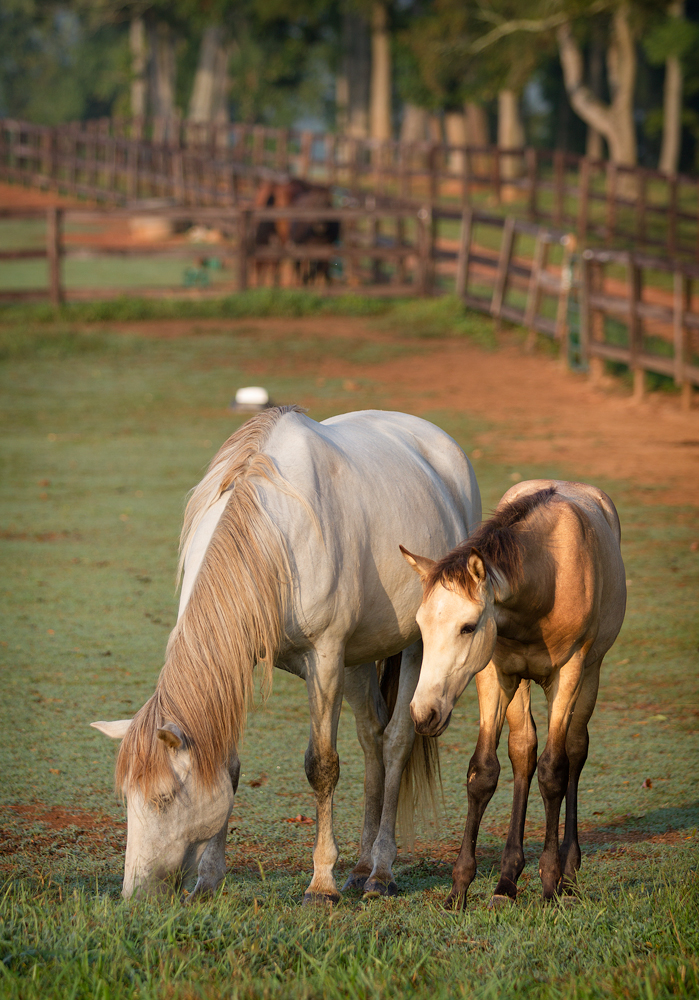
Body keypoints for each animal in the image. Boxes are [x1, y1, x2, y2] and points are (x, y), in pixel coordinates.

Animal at [91, 402, 482, 904]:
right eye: (127, 799)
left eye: (162, 798)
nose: (135, 896)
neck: (274, 535)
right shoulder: (243, 663)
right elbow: (229, 768)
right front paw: (209, 879)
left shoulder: (326, 657)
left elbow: (323, 767)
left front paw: (321, 883)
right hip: (359, 659)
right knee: (372, 738)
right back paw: (361, 867)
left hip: (415, 646)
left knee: (396, 742)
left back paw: (380, 872)